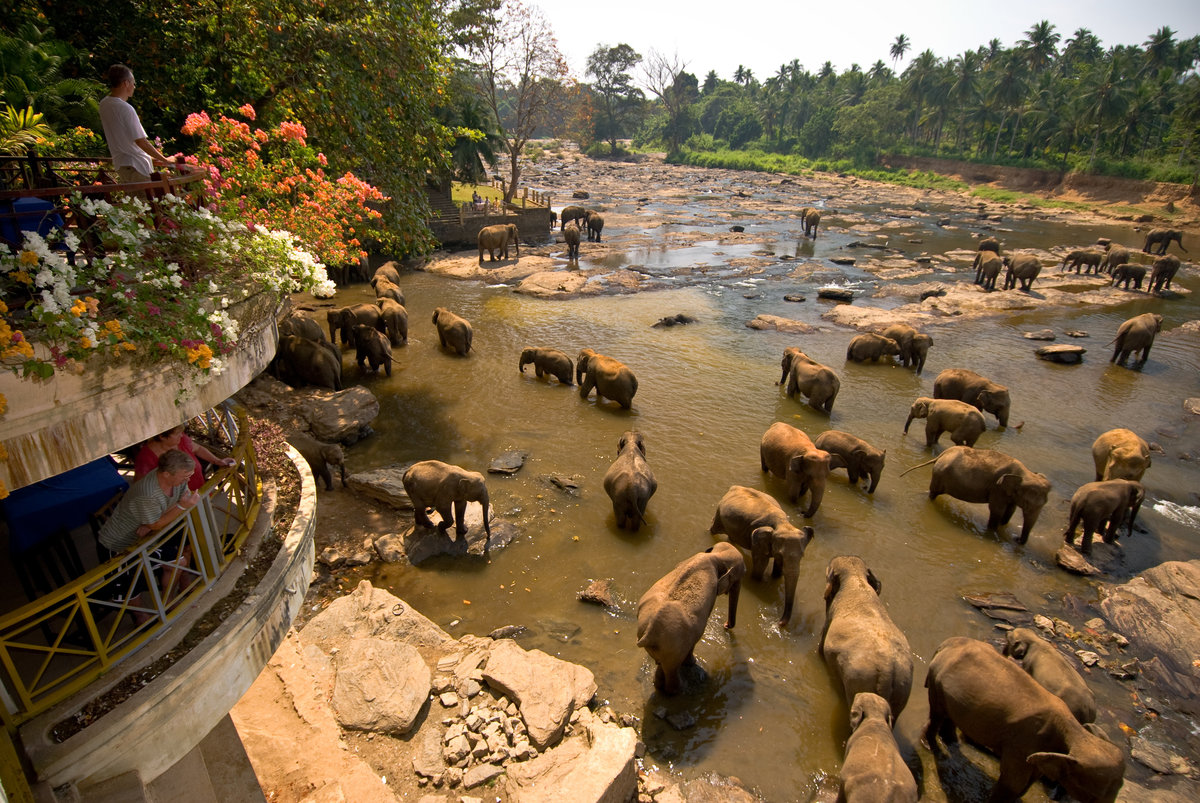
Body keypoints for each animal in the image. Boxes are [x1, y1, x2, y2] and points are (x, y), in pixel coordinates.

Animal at [633, 542, 744, 691]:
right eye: (739, 577)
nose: (725, 625)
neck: (715, 556)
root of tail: (649, 633)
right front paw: (692, 662)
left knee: (662, 666)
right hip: (675, 647)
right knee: (672, 670)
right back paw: (680, 689)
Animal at [705, 482, 820, 624]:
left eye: (802, 556)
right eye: (781, 554)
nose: (779, 623)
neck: (783, 524)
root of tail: (735, 487)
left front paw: (775, 577)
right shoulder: (758, 543)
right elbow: (761, 564)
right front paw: (758, 581)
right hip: (719, 513)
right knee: (713, 529)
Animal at [907, 441, 1051, 542]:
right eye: (1027, 503)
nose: (1016, 539)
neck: (1026, 472)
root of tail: (942, 454)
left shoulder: (1009, 493)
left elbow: (1010, 510)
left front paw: (1003, 527)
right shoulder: (998, 489)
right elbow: (997, 510)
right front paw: (993, 533)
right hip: (938, 476)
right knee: (933, 494)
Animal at [921, 633, 1128, 801]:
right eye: (1094, 795)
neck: (1074, 729)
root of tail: (948, 643)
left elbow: (1026, 784)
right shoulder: (1023, 742)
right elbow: (1013, 783)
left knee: (949, 716)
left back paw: (951, 742)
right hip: (937, 682)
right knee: (937, 714)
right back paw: (930, 746)